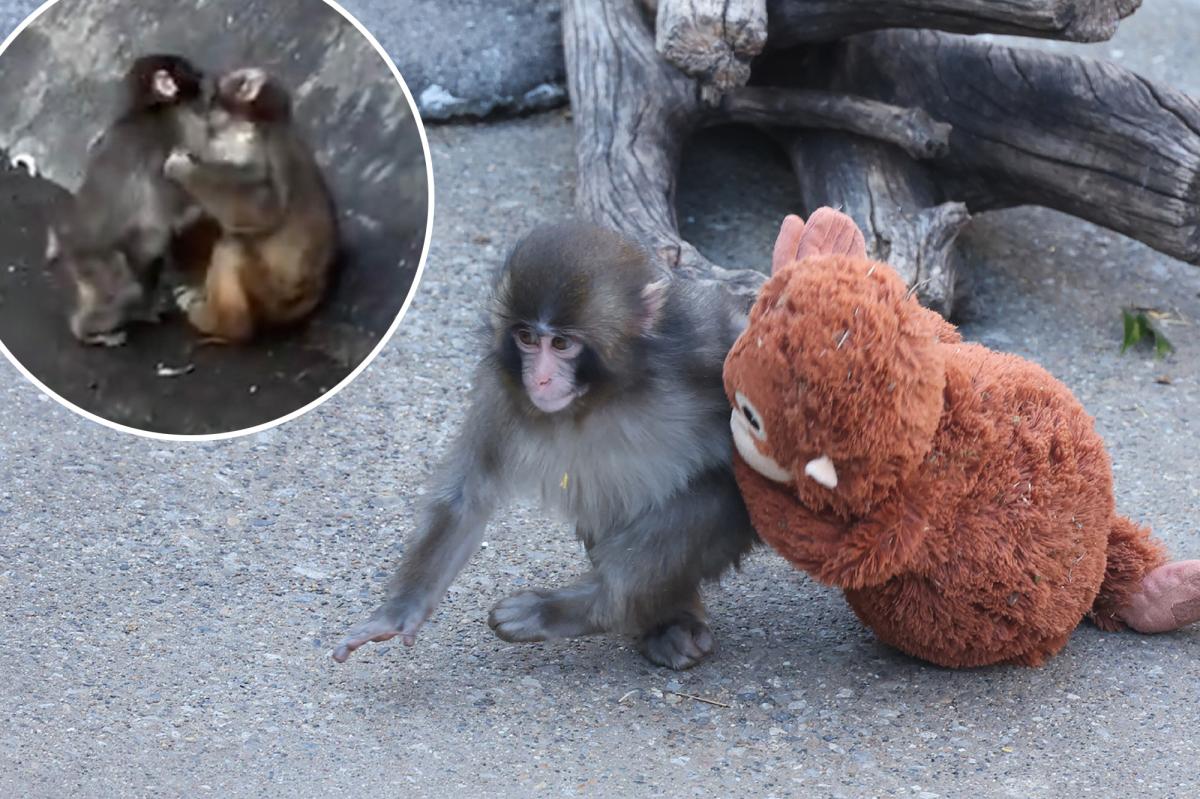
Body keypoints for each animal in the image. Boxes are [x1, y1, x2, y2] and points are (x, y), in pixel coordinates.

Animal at [46, 54, 210, 346]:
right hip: (96, 262)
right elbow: (172, 205)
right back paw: (88, 332)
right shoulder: (172, 129)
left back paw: (142, 312)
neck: (147, 108)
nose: (203, 75)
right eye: (189, 70)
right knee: (127, 287)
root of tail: (68, 245)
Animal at [163, 67, 338, 343]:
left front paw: (182, 168)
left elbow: (263, 207)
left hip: (274, 298)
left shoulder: (248, 143)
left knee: (232, 246)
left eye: (217, 92)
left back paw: (224, 325)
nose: (205, 90)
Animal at [333, 223, 759, 670]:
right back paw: (665, 622)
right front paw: (398, 613)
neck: (606, 394)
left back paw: (583, 608)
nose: (538, 379)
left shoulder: (704, 345)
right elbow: (467, 496)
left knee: (712, 497)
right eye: (525, 338)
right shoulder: (502, 391)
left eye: (561, 344)